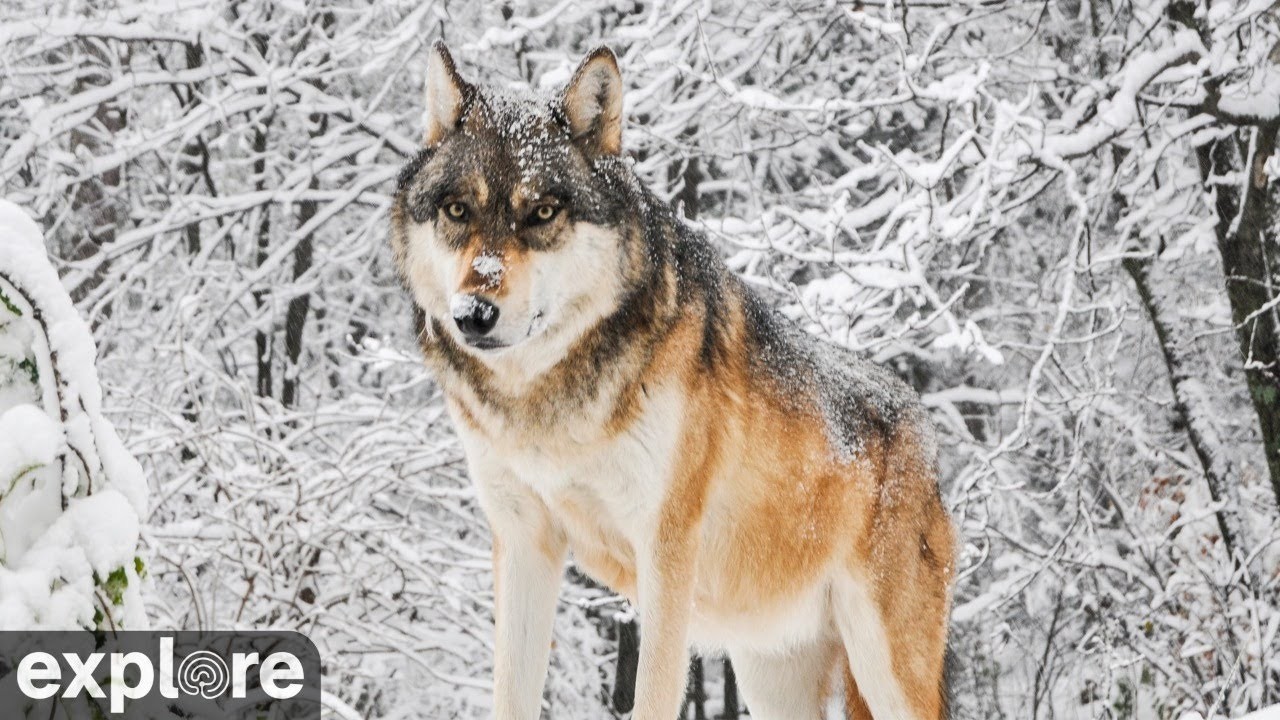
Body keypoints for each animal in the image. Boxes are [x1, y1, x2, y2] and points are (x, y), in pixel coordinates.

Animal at [390, 41, 956, 720]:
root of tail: (923, 429)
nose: (473, 314)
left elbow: (653, 695)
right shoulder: (524, 543)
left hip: (883, 669)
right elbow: (511, 697)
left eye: (543, 212)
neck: (545, 405)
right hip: (770, 677)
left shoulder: (665, 551)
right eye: (457, 210)